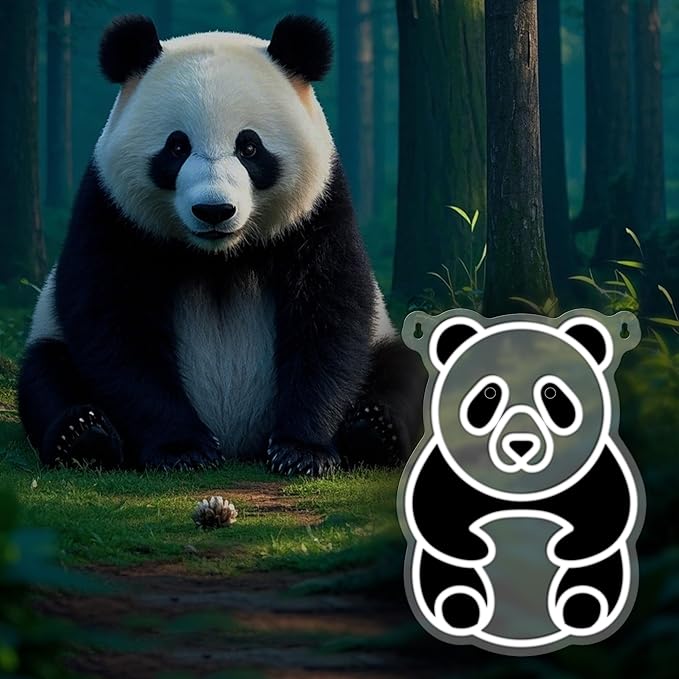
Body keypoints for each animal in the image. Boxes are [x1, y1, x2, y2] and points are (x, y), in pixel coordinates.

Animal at [18, 15, 426, 476]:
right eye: (177, 146)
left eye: (249, 146)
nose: (214, 210)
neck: (219, 258)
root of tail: (237, 442)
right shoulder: (112, 212)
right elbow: (115, 328)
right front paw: (183, 448)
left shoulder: (319, 210)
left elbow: (330, 314)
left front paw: (301, 451)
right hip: (50, 338)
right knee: (46, 374)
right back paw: (85, 435)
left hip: (384, 338)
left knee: (403, 368)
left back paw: (373, 430)